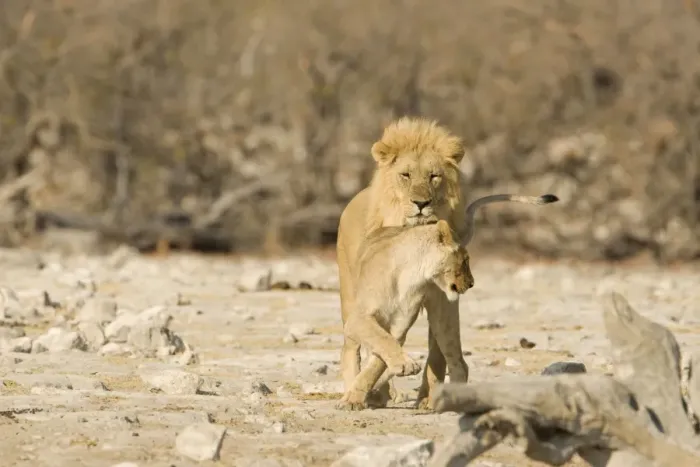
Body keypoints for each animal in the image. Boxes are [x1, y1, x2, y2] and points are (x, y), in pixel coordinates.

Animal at [336, 116, 555, 409]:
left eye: (434, 176)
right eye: (405, 175)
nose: (421, 203)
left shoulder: (405, 319)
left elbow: (383, 355)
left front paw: (385, 380)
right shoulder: (361, 317)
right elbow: (378, 344)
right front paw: (363, 392)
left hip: (444, 311)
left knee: (452, 358)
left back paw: (431, 398)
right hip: (349, 297)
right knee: (351, 349)